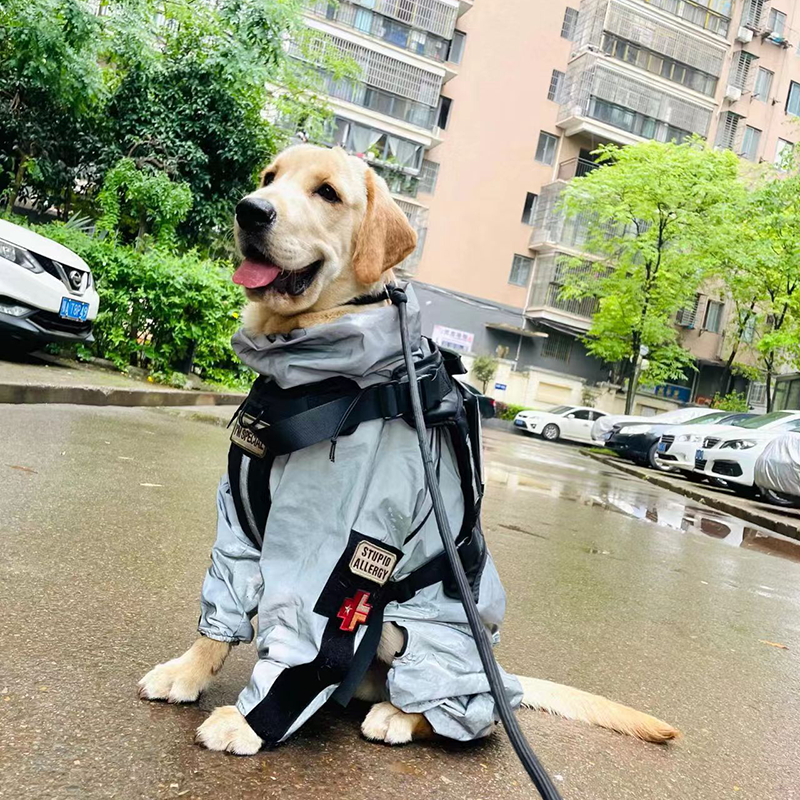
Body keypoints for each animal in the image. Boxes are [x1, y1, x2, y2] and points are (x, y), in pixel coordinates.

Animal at [141, 145, 680, 756]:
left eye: (327, 193)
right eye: (269, 178)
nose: (250, 210)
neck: (305, 373)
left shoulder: (331, 550)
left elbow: (302, 641)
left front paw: (252, 722)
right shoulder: (238, 521)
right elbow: (223, 603)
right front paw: (186, 673)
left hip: (414, 634)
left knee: (474, 713)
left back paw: (401, 717)